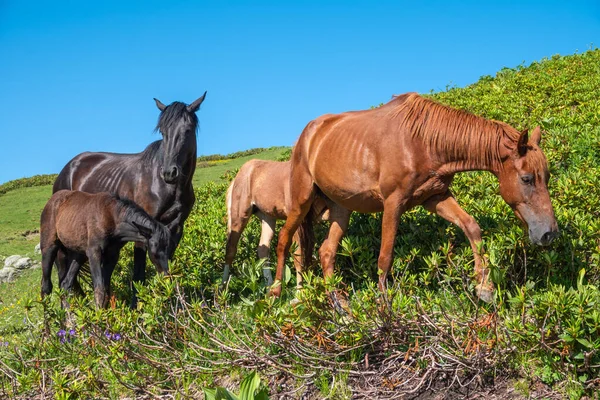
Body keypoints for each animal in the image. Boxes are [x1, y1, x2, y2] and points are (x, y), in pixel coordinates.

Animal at [40, 191, 171, 310]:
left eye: (169, 248)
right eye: (154, 252)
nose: (166, 277)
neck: (113, 217)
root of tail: (51, 201)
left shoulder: (112, 255)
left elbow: (106, 290)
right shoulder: (94, 252)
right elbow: (99, 290)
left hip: (78, 254)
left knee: (65, 284)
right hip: (49, 247)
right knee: (46, 286)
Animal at [52, 93, 206, 306]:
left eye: (187, 130)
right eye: (163, 132)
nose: (169, 172)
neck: (167, 187)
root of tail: (68, 168)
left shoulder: (175, 229)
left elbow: (169, 266)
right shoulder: (144, 230)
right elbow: (139, 273)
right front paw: (137, 307)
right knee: (63, 275)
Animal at [226, 159, 338, 288]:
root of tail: (237, 177)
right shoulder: (297, 222)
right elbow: (298, 256)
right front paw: (300, 290)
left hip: (267, 218)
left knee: (263, 249)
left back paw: (269, 287)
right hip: (240, 217)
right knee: (231, 249)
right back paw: (223, 289)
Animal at [274, 92, 560, 302]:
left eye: (546, 176)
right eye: (527, 178)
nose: (549, 234)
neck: (422, 140)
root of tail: (308, 134)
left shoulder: (435, 197)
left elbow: (471, 227)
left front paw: (484, 287)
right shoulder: (393, 203)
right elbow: (385, 258)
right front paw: (384, 309)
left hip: (341, 208)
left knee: (326, 252)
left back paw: (341, 308)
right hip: (301, 202)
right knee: (285, 241)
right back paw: (276, 293)